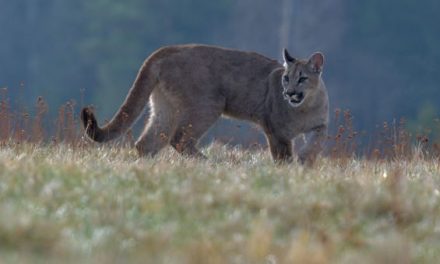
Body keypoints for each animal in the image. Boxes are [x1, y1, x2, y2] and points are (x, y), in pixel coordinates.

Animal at [81, 43, 328, 163]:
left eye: (302, 78)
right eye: (286, 78)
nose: (289, 92)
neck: (303, 108)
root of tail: (167, 49)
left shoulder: (320, 125)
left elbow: (315, 143)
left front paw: (304, 161)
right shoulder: (275, 131)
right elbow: (282, 155)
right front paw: (288, 169)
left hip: (166, 107)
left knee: (147, 142)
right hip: (208, 105)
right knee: (179, 139)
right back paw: (211, 164)